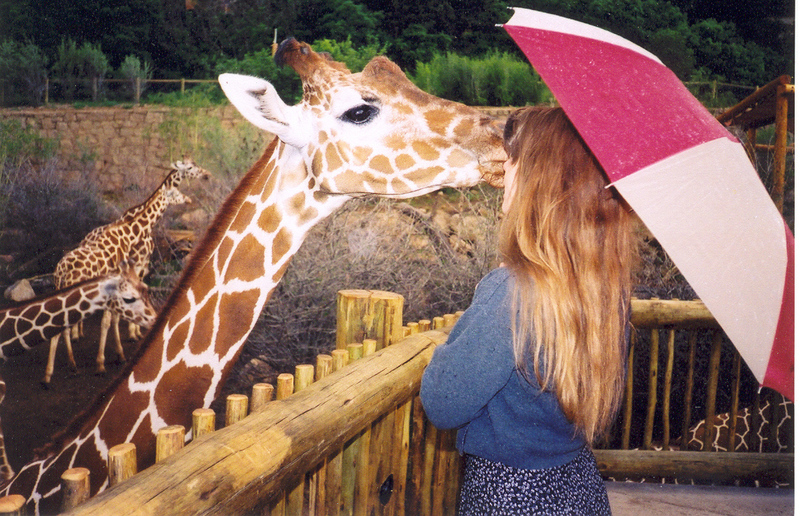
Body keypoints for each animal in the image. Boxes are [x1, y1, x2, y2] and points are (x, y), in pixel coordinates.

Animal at [47, 161, 211, 382]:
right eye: (191, 167)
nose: (207, 175)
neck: (130, 231)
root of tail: (61, 271)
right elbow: (110, 320)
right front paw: (105, 361)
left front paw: (120, 350)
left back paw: (62, 366)